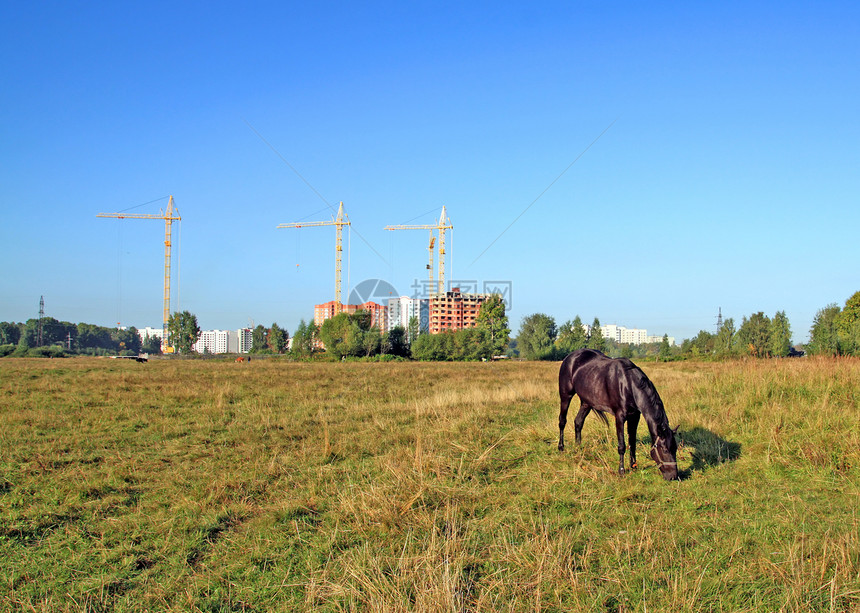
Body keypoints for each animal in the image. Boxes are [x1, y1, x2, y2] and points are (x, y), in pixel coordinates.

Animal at [556, 350, 680, 478]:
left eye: (675, 448)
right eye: (665, 450)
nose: (673, 476)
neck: (628, 384)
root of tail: (570, 357)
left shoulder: (634, 417)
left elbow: (632, 442)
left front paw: (633, 466)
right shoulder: (620, 417)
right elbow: (622, 445)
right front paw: (621, 470)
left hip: (586, 403)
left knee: (578, 422)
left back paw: (578, 448)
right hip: (566, 396)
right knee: (562, 421)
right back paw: (561, 447)